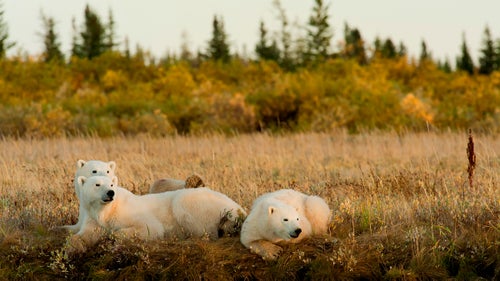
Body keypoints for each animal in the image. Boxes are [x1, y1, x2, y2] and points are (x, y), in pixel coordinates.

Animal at [71, 175, 247, 252]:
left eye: (112, 184)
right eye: (97, 184)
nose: (110, 193)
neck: (107, 210)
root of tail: (238, 208)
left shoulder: (131, 213)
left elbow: (150, 228)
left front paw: (112, 237)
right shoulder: (93, 218)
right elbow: (86, 234)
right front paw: (73, 248)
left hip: (198, 202)